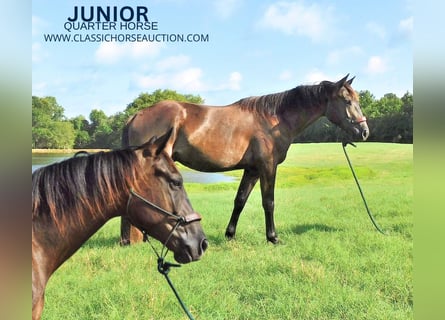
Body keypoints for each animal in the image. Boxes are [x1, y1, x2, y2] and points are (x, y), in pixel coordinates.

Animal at [119, 74, 368, 245]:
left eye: (357, 99)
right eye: (347, 101)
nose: (364, 131)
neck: (273, 120)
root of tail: (137, 115)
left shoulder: (252, 170)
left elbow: (240, 201)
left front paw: (230, 235)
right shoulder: (267, 167)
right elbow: (269, 202)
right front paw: (273, 237)